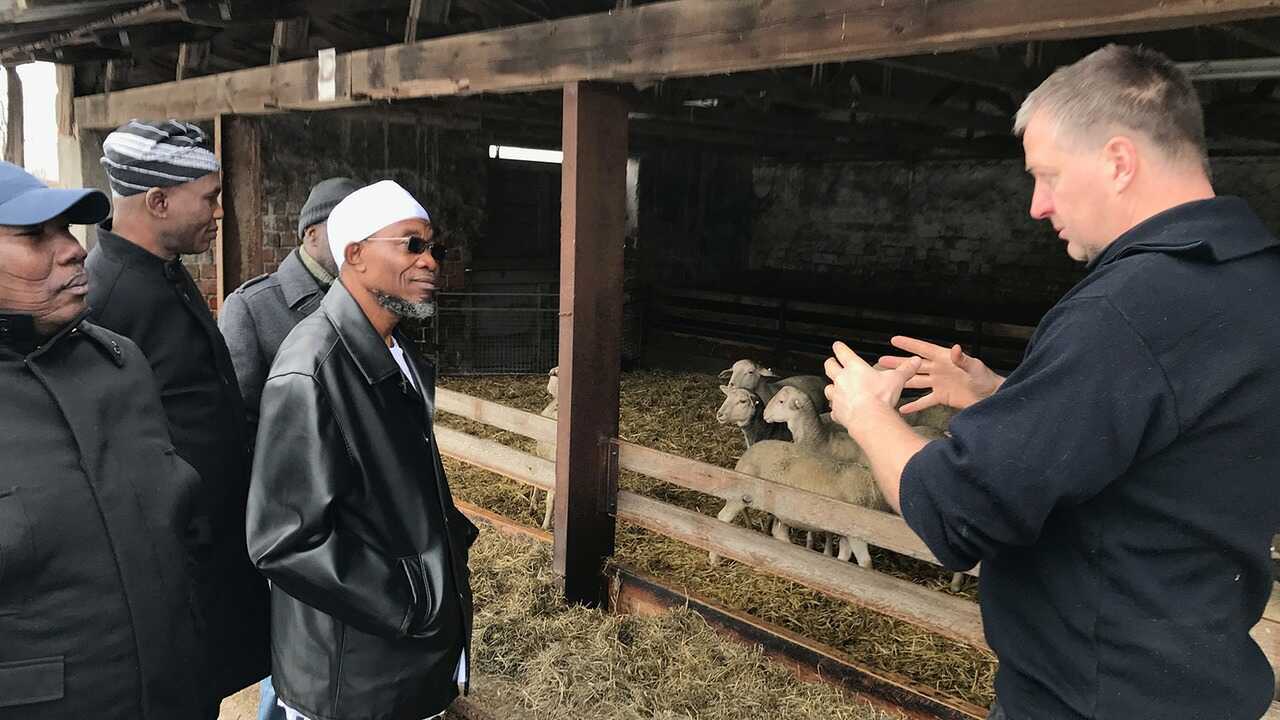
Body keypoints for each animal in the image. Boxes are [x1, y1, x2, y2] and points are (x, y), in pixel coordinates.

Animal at [711, 438, 890, 566]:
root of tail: (747, 453)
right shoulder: (856, 531)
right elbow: (865, 562)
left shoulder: (845, 531)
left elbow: (844, 556)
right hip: (740, 496)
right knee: (723, 518)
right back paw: (715, 560)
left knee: (779, 533)